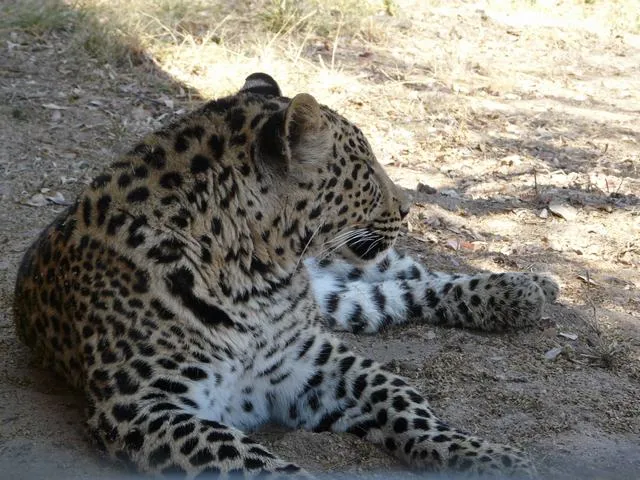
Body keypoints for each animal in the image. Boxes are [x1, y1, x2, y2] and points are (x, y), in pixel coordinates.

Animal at [13, 72, 557, 479]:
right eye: (365, 169)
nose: (407, 206)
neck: (253, 273)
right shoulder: (143, 405)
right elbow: (252, 463)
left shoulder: (315, 360)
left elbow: (404, 404)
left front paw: (495, 458)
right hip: (345, 300)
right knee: (395, 295)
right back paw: (525, 294)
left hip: (356, 266)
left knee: (413, 272)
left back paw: (529, 287)